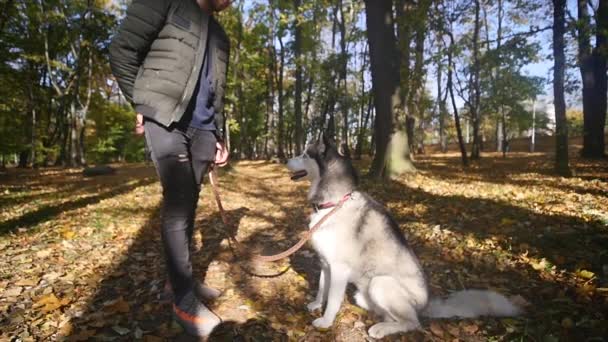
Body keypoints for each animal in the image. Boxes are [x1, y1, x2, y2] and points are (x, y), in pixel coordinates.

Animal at [288, 134, 520, 340]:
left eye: (305, 154)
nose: (285, 159)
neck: (333, 204)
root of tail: (425, 304)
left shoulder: (339, 269)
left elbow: (333, 300)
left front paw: (326, 322)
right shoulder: (325, 264)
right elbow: (321, 289)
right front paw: (316, 305)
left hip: (380, 283)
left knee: (413, 322)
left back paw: (381, 329)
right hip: (365, 295)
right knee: (395, 318)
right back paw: (382, 324)